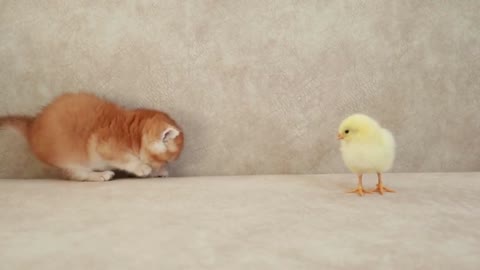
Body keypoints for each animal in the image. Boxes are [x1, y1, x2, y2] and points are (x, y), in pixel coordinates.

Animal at [0, 92, 184, 181]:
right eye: (166, 160)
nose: (163, 167)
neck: (130, 133)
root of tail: (32, 126)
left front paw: (156, 172)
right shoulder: (104, 145)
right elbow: (126, 159)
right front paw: (143, 168)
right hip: (71, 159)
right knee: (77, 175)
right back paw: (99, 175)